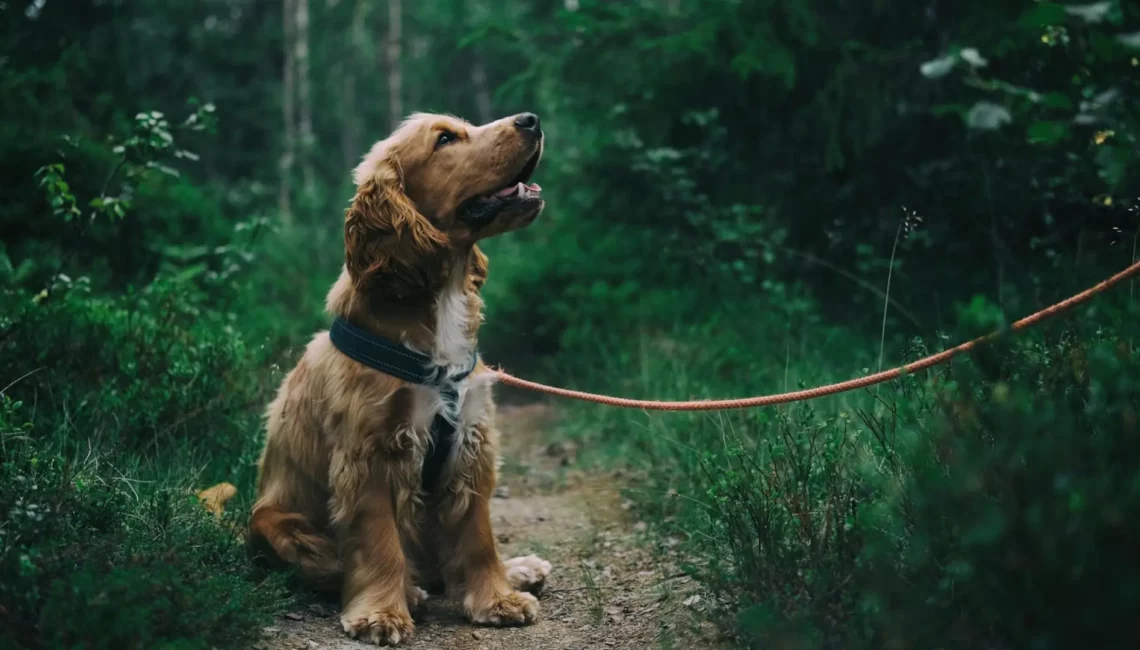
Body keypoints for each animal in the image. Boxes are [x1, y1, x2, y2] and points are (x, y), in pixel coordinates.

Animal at [248, 111, 551, 643]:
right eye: (445, 139)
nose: (531, 119)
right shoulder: (371, 453)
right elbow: (379, 540)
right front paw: (382, 614)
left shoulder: (471, 442)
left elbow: (478, 535)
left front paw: (497, 598)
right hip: (275, 524)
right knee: (334, 565)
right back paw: (410, 591)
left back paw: (517, 569)